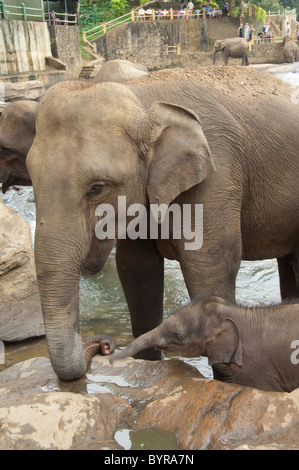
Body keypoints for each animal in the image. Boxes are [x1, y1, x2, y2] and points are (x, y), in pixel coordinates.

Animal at [26, 70, 299, 380]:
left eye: (97, 188)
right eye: (31, 179)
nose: (104, 346)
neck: (142, 97)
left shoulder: (217, 173)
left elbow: (207, 266)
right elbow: (137, 270)